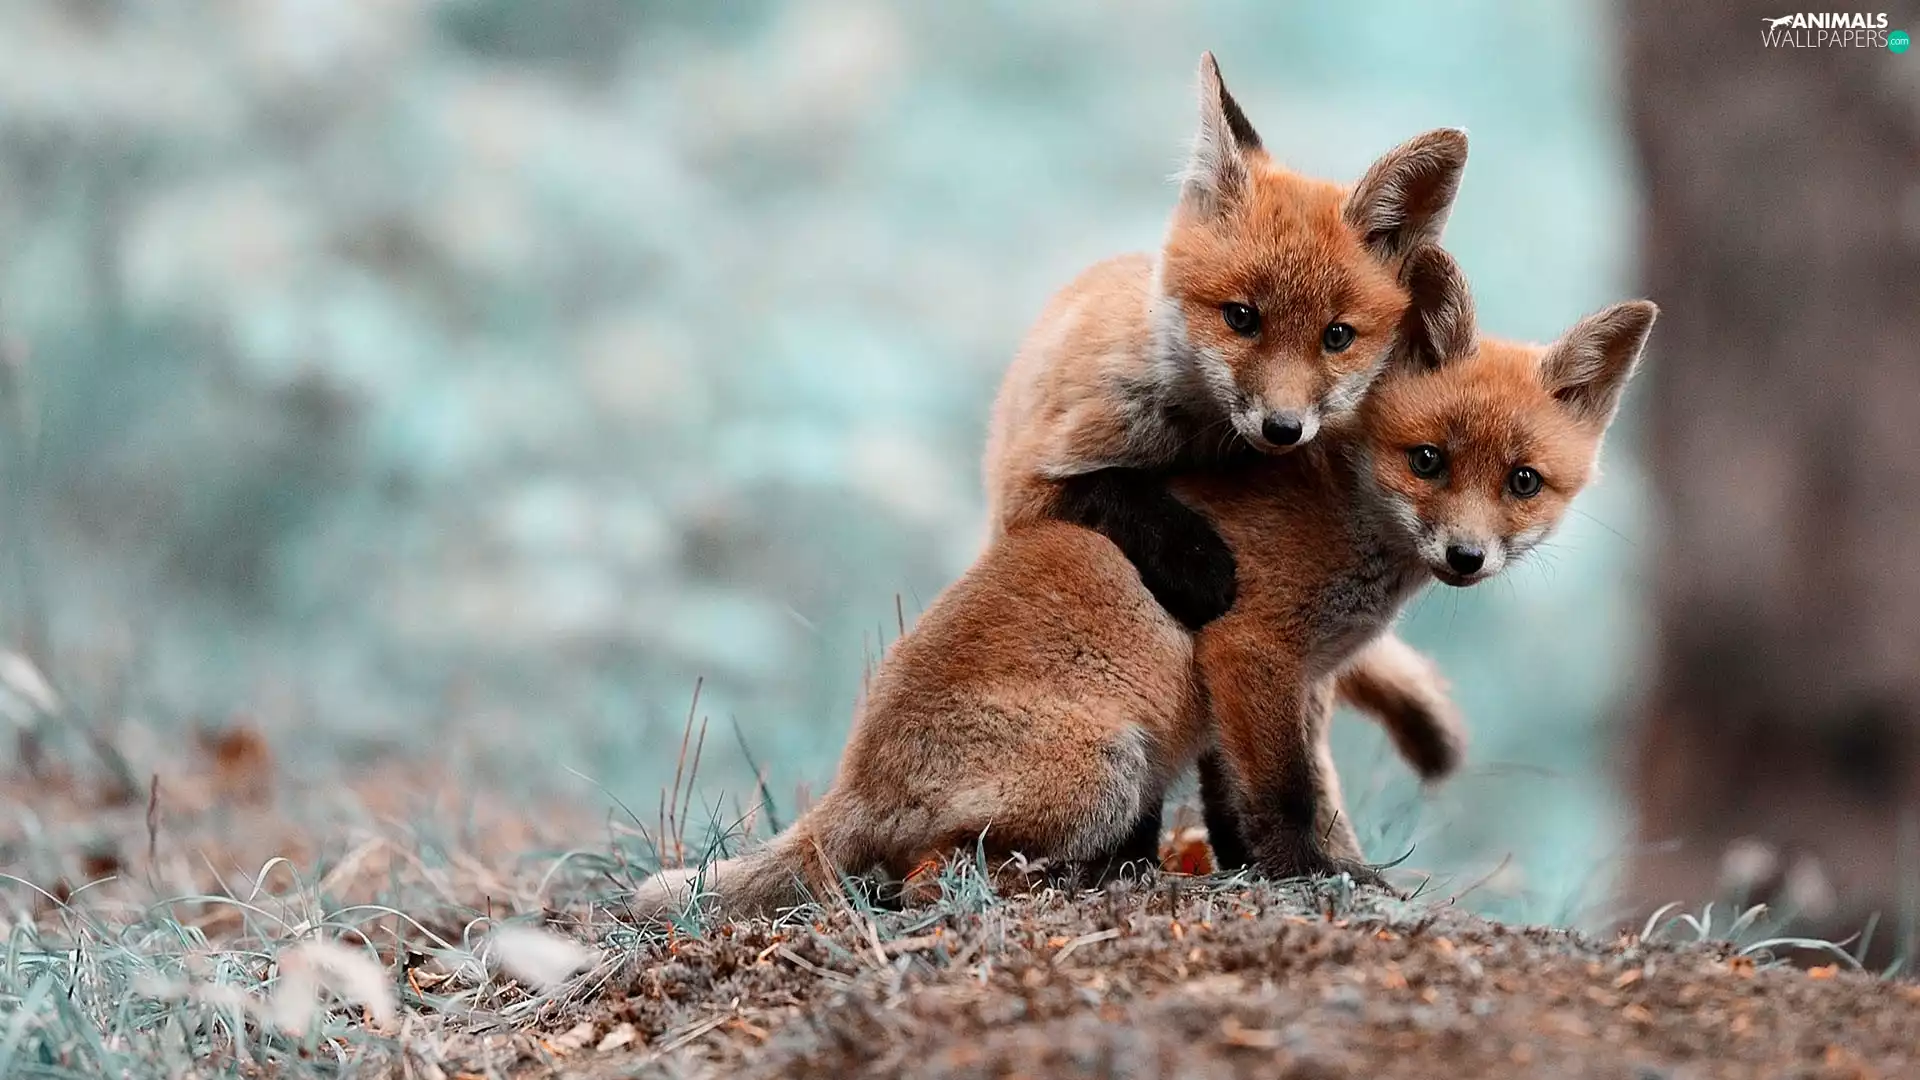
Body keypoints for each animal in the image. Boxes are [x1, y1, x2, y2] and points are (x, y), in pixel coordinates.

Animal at [633, 246, 1658, 917]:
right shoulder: (1250, 650)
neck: (1346, 516)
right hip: (1107, 769)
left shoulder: (1292, 685)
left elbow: (1265, 801)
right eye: (1429, 461)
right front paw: (1320, 879)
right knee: (919, 879)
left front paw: (1294, 869)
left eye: (1523, 482)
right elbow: (1287, 799)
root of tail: (856, 774)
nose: (1466, 559)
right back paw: (1059, 882)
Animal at [985, 52, 1472, 792]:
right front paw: (1202, 563)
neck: (1196, 441)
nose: (1283, 428)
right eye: (1241, 318)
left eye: (1337, 337)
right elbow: (1115, 492)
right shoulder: (1034, 485)